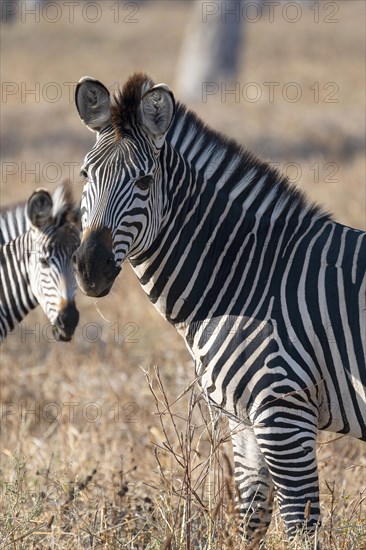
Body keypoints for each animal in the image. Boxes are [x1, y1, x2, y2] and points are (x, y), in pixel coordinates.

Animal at [72, 72, 366, 544]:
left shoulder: (285, 415)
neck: (252, 278)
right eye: (85, 175)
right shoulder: (244, 421)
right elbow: (251, 519)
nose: (89, 269)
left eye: (145, 181)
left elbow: (301, 528)